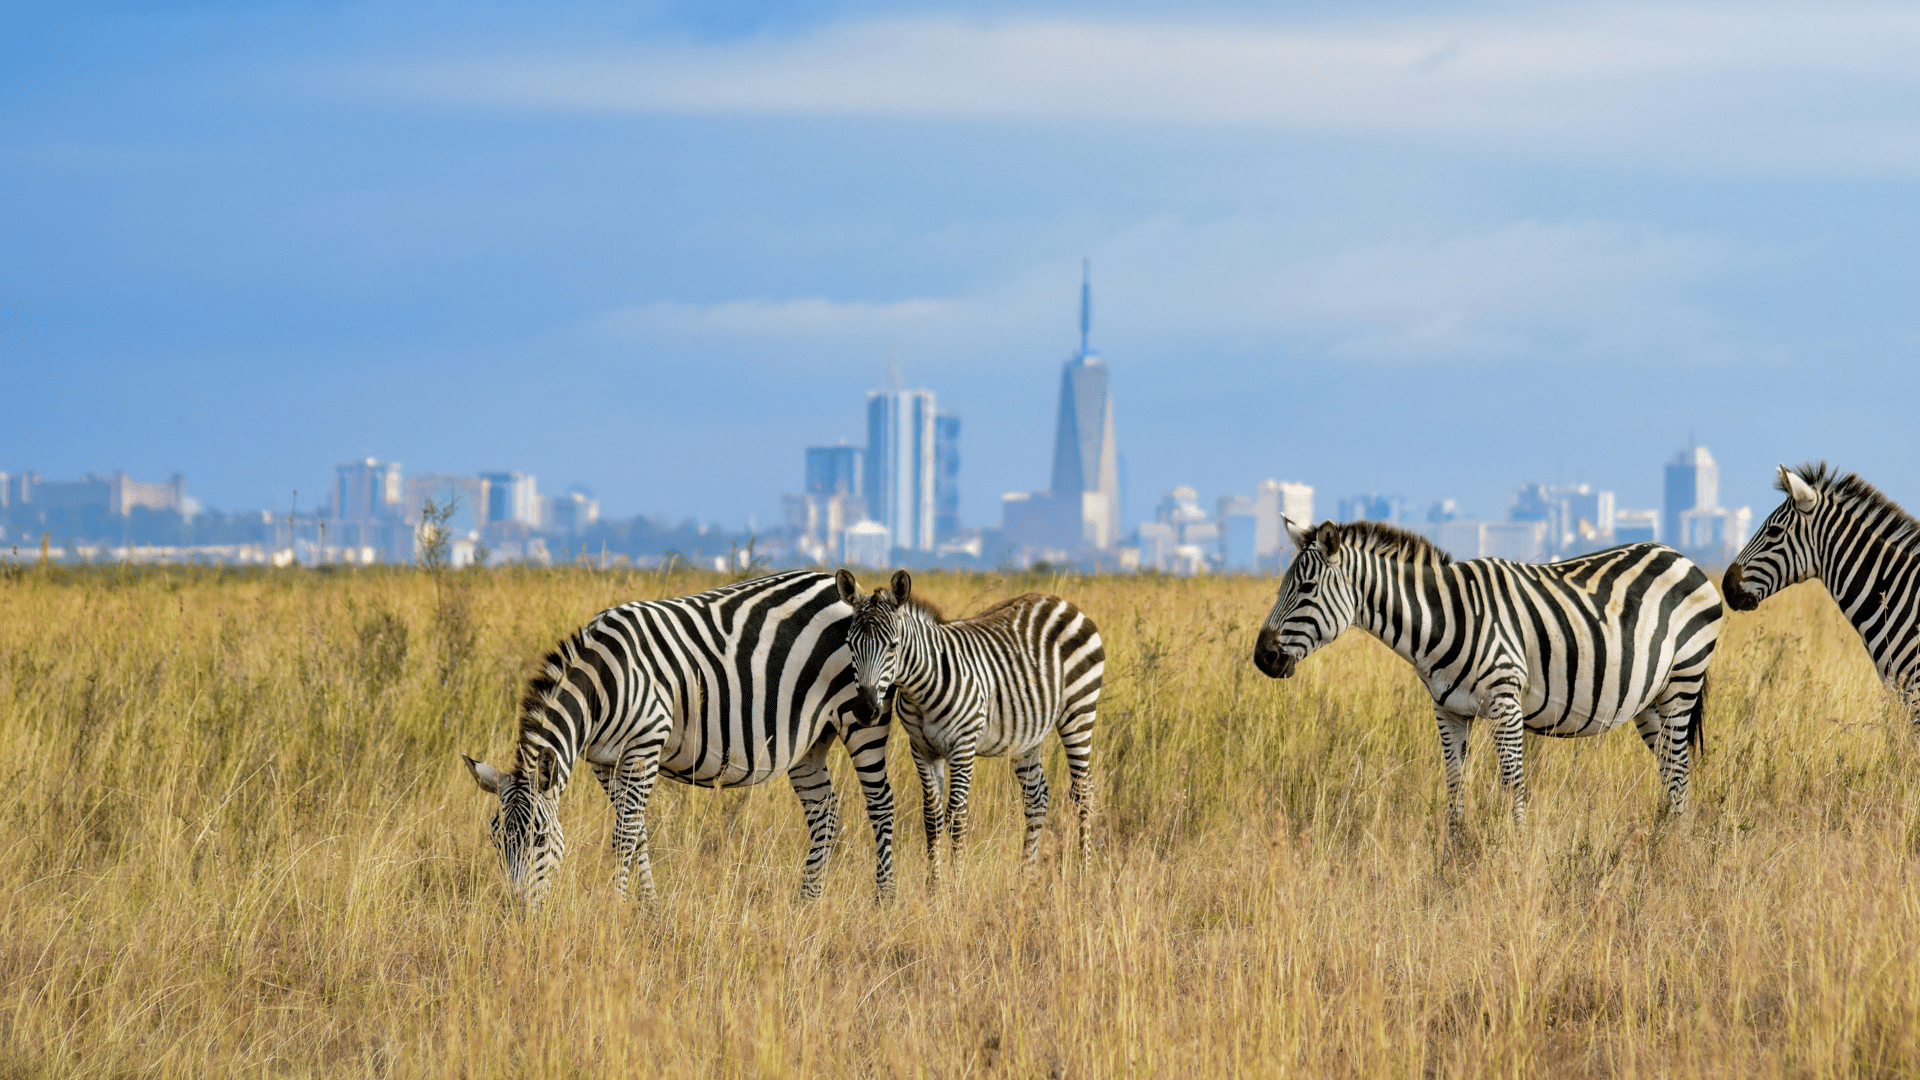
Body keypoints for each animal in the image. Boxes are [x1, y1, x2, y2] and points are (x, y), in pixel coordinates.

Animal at [461, 570, 896, 908]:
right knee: (825, 810)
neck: (602, 685)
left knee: (881, 804)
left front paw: (617, 908)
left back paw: (884, 901)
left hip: (862, 717)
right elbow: (637, 832)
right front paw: (648, 907)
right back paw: (807, 901)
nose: (517, 910)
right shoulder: (603, 761)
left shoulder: (645, 744)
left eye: (539, 839)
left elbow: (624, 835)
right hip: (810, 739)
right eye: (495, 839)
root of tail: (845, 589)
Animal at [836, 569, 1103, 885]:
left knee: (1083, 792)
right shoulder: (921, 749)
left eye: (893, 645)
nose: (866, 710)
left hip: (1079, 711)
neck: (920, 688)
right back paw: (1025, 876)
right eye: (850, 644)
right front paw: (934, 886)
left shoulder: (962, 747)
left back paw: (1084, 873)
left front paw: (956, 884)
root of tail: (1058, 600)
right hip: (1027, 733)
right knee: (1036, 798)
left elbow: (956, 816)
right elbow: (932, 816)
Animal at [1252, 520, 1722, 834]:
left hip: (1683, 680)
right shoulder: (1448, 711)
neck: (1441, 621)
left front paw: (1515, 855)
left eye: (1306, 589)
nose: (1262, 657)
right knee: (1669, 768)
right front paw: (1454, 858)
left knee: (1679, 767)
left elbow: (1513, 785)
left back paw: (1672, 847)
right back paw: (1665, 838)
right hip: (1649, 700)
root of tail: (1681, 557)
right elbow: (1455, 785)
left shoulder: (1506, 704)